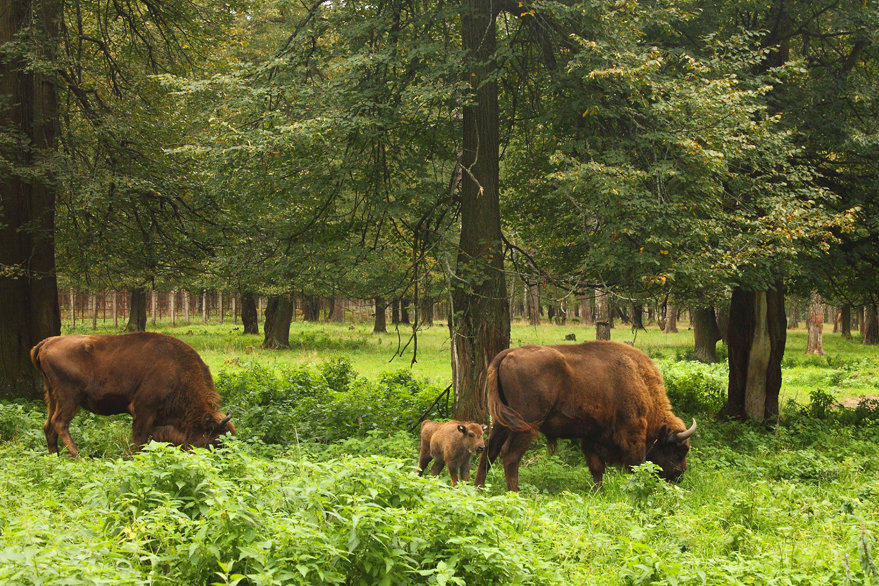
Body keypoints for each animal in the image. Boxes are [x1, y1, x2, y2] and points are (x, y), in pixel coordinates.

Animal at [30, 330, 232, 454]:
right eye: (216, 440)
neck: (178, 371)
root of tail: (47, 343)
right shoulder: (144, 411)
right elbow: (138, 440)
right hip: (69, 398)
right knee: (60, 423)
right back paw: (78, 456)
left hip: (52, 396)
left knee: (49, 426)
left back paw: (55, 457)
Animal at [478, 340, 696, 490]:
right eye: (679, 450)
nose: (680, 474)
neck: (639, 379)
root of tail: (507, 354)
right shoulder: (632, 433)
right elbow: (636, 464)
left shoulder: (592, 435)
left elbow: (596, 468)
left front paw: (599, 492)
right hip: (526, 423)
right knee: (510, 455)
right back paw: (514, 493)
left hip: (501, 422)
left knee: (490, 450)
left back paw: (478, 489)